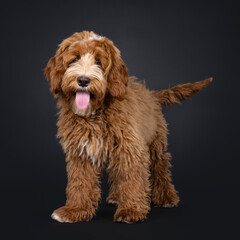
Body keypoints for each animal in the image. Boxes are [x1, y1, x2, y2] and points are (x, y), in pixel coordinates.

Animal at [45, 30, 212, 223]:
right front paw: (75, 210)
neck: (95, 114)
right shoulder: (81, 152)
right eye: (74, 59)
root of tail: (152, 95)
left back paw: (166, 197)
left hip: (155, 143)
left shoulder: (130, 147)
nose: (83, 80)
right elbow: (80, 182)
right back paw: (116, 197)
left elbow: (132, 180)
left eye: (98, 62)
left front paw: (131, 210)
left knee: (160, 167)